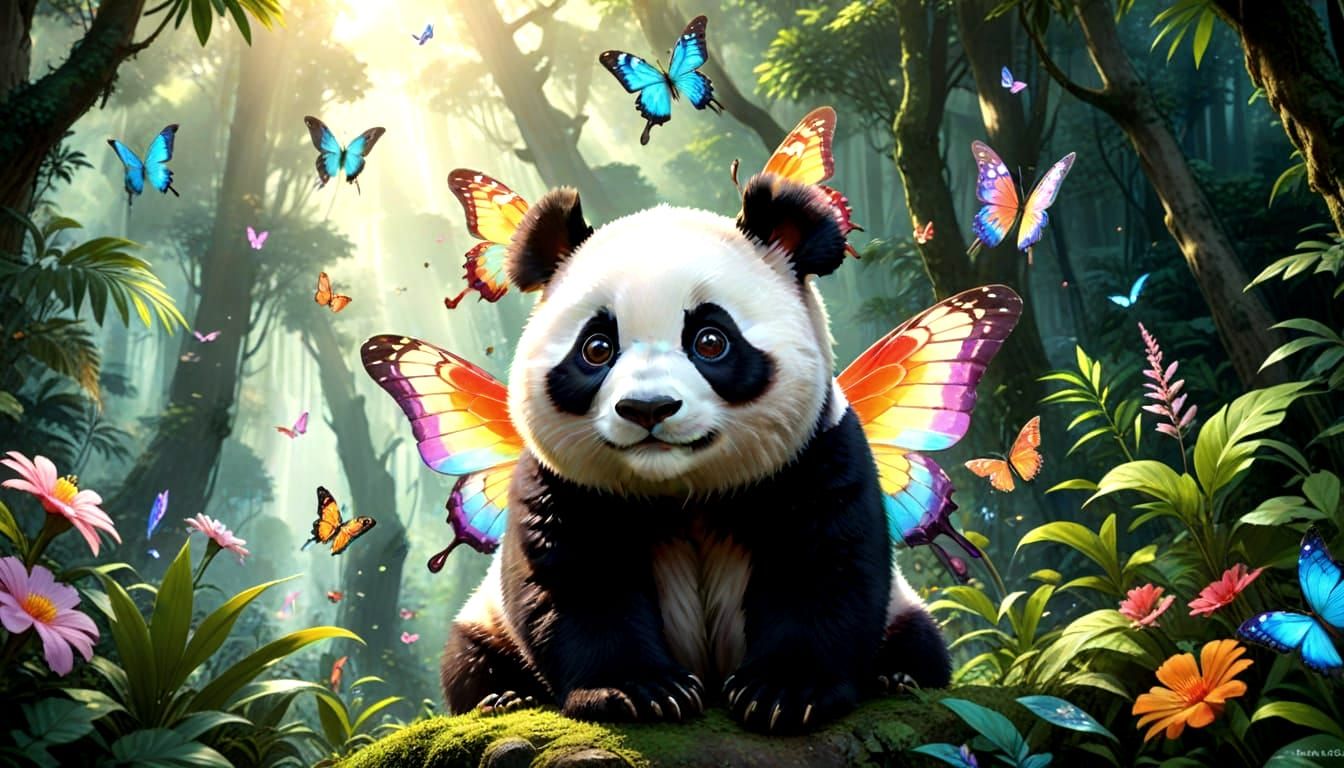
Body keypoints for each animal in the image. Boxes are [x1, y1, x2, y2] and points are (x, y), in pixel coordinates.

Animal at [440, 174, 954, 734]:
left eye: (711, 340)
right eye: (596, 348)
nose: (648, 408)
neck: (684, 489)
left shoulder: (817, 451)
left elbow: (824, 565)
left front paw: (784, 693)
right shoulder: (564, 480)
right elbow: (578, 579)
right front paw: (638, 691)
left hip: (904, 608)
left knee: (922, 642)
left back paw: (897, 677)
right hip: (485, 618)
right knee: (468, 659)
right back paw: (505, 696)